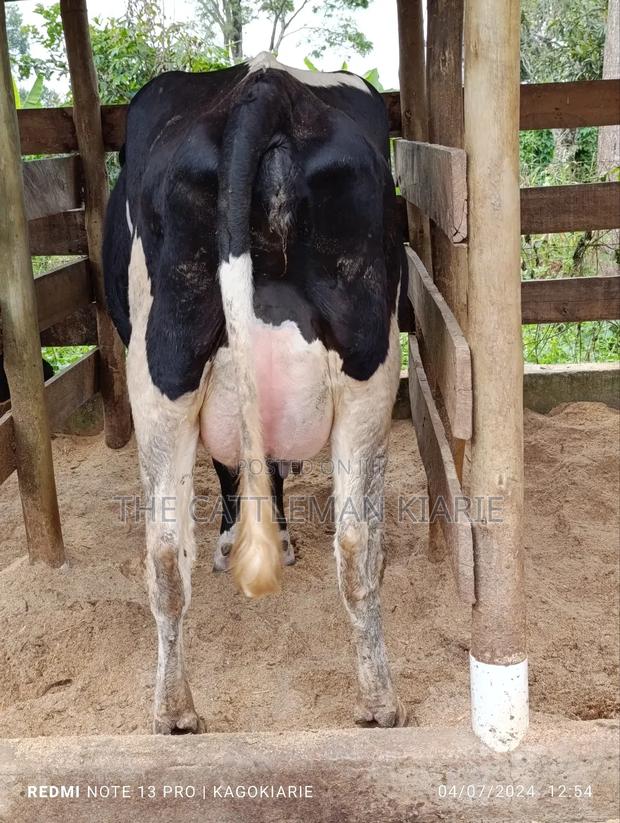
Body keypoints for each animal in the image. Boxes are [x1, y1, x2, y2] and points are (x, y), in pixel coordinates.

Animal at [103, 52, 409, 734]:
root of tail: (265, 87)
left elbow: (237, 469)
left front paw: (243, 536)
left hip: (162, 365)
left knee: (167, 551)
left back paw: (176, 712)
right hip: (368, 366)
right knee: (355, 543)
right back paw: (374, 703)